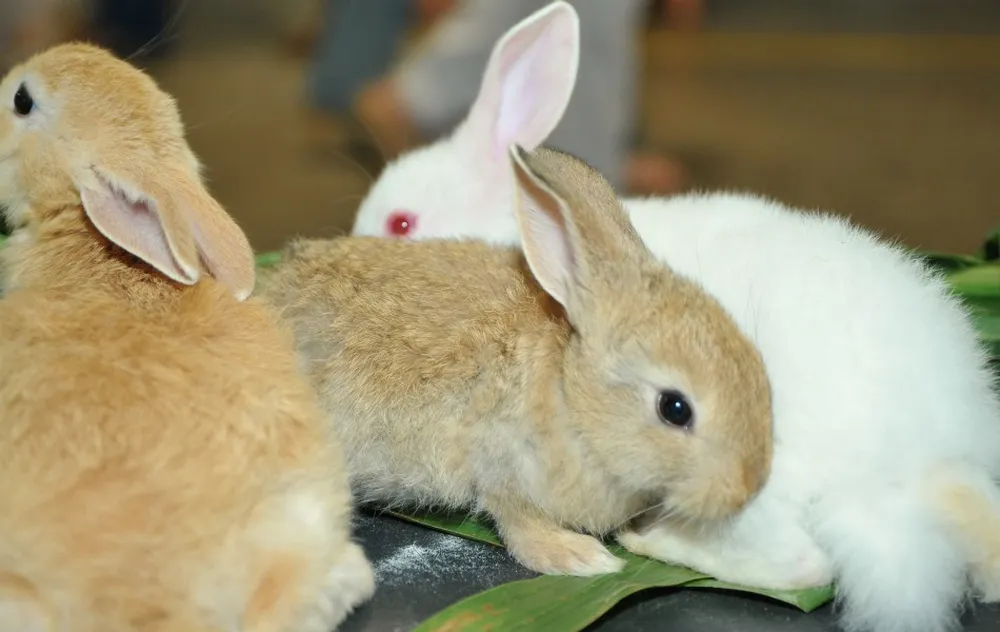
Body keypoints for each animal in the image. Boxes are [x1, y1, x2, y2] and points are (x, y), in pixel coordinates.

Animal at [264, 144, 772, 576]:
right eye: (675, 408)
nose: (746, 489)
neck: (570, 391)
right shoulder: (504, 471)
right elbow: (519, 525)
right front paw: (582, 558)